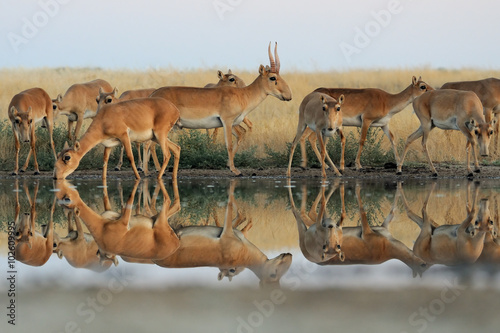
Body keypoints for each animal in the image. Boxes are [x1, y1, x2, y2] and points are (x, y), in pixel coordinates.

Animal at [52, 96, 181, 179]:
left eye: (67, 157)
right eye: (57, 154)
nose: (55, 176)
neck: (104, 118)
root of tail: (175, 109)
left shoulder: (124, 136)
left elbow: (130, 157)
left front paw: (138, 177)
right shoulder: (108, 144)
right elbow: (105, 160)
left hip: (160, 135)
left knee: (167, 154)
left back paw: (158, 177)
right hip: (156, 137)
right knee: (177, 148)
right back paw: (173, 177)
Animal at [152, 42, 292, 176]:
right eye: (273, 77)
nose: (289, 95)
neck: (243, 95)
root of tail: (153, 94)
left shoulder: (232, 124)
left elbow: (238, 137)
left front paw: (228, 165)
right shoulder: (227, 121)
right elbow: (229, 144)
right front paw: (235, 170)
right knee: (151, 145)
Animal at [290, 180, 426, 276]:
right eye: (423, 267)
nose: (424, 262)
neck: (387, 248)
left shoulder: (384, 226)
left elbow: (392, 210)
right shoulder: (367, 231)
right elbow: (362, 211)